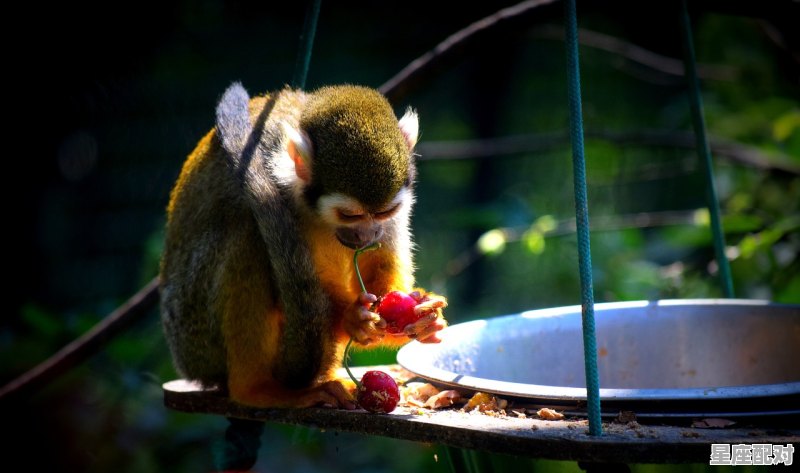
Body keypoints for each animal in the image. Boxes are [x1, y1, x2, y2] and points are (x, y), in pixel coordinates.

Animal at [159, 83, 446, 408]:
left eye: (385, 212)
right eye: (350, 215)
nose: (368, 235)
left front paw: (421, 317)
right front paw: (353, 319)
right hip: (195, 335)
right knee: (247, 234)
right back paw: (257, 389)